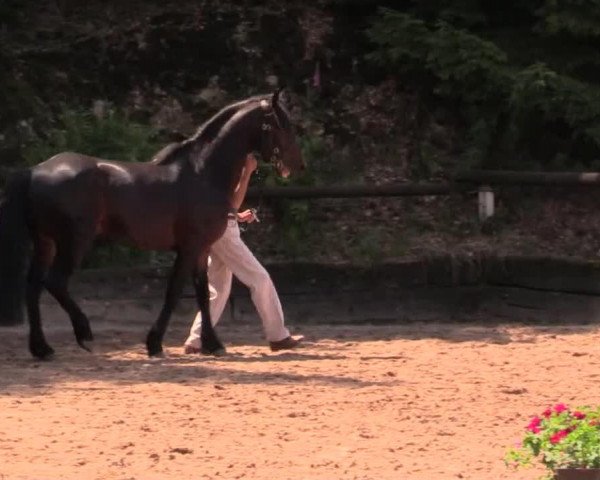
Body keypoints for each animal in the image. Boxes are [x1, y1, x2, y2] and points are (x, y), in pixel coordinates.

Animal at [0, 92, 302, 358]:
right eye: (281, 125)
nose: (296, 164)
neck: (203, 174)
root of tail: (35, 171)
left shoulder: (202, 250)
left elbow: (203, 294)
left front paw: (212, 344)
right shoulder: (189, 248)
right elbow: (175, 292)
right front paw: (155, 343)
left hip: (46, 242)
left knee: (33, 287)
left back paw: (42, 349)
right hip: (74, 242)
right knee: (55, 282)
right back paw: (84, 334)